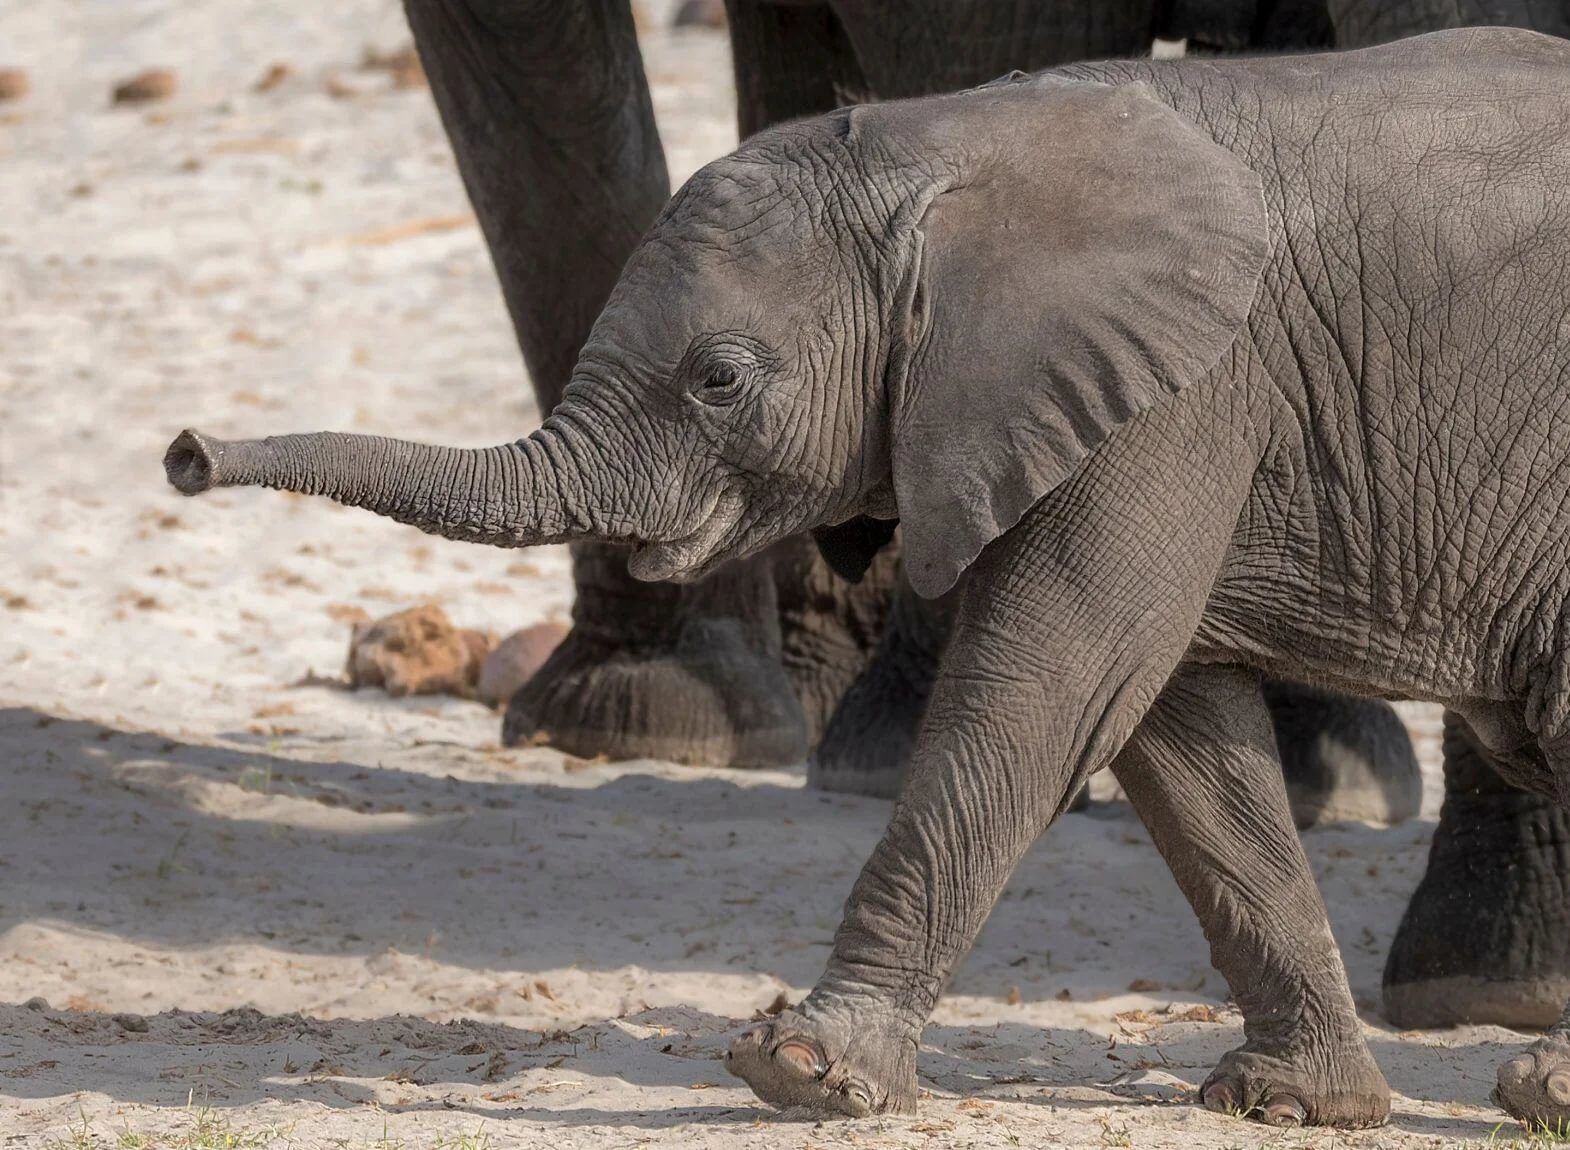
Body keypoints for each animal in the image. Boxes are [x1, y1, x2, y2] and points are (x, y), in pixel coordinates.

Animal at [165, 27, 1570, 1127]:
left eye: (719, 379)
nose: (184, 453)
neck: (940, 146)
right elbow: (1176, 731)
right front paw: (1291, 1103)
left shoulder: (1188, 396)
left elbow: (1049, 684)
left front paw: (798, 1070)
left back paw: (1535, 1091)